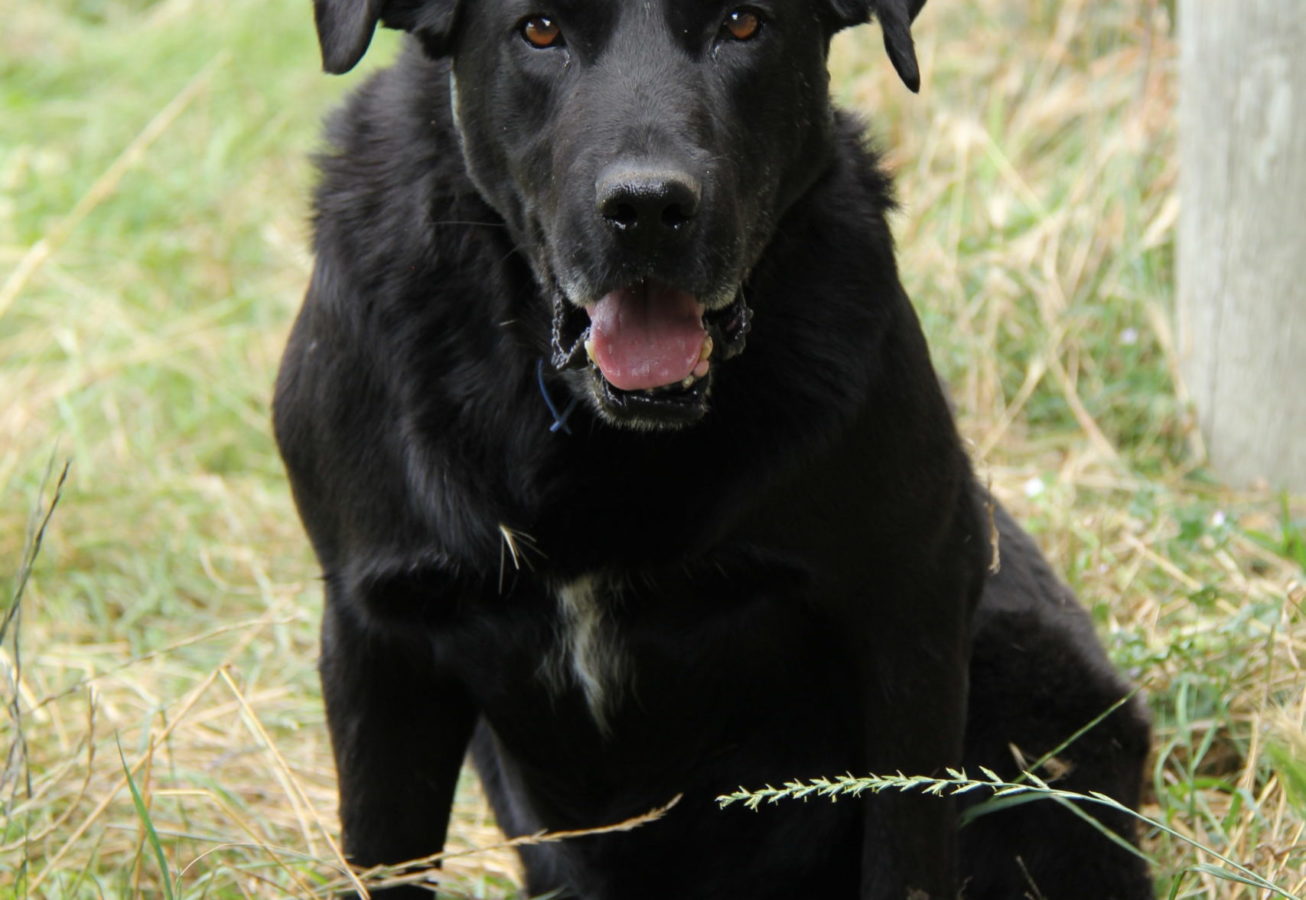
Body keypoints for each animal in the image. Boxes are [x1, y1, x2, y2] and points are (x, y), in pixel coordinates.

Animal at [275, 3, 1154, 893]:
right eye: (540, 30)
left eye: (742, 24)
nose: (647, 208)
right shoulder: (378, 637)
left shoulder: (912, 603)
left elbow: (902, 853)